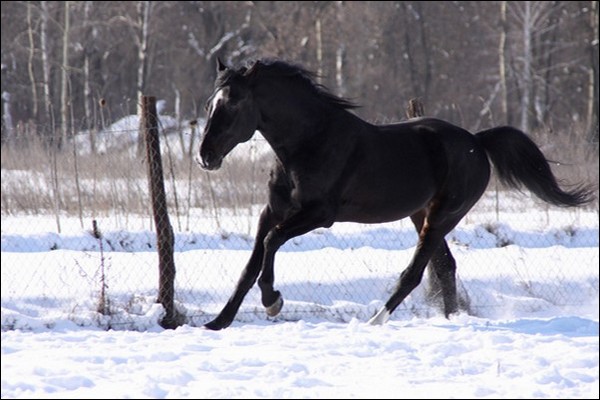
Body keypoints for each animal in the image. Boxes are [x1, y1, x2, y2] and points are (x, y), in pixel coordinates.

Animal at [199, 57, 592, 330]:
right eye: (209, 103)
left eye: (233, 103)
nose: (206, 156)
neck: (310, 143)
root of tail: (478, 142)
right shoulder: (272, 211)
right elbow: (250, 265)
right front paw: (218, 322)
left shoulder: (318, 215)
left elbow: (271, 244)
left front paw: (273, 301)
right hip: (422, 214)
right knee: (445, 266)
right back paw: (450, 320)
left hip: (443, 216)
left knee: (416, 272)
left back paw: (377, 320)